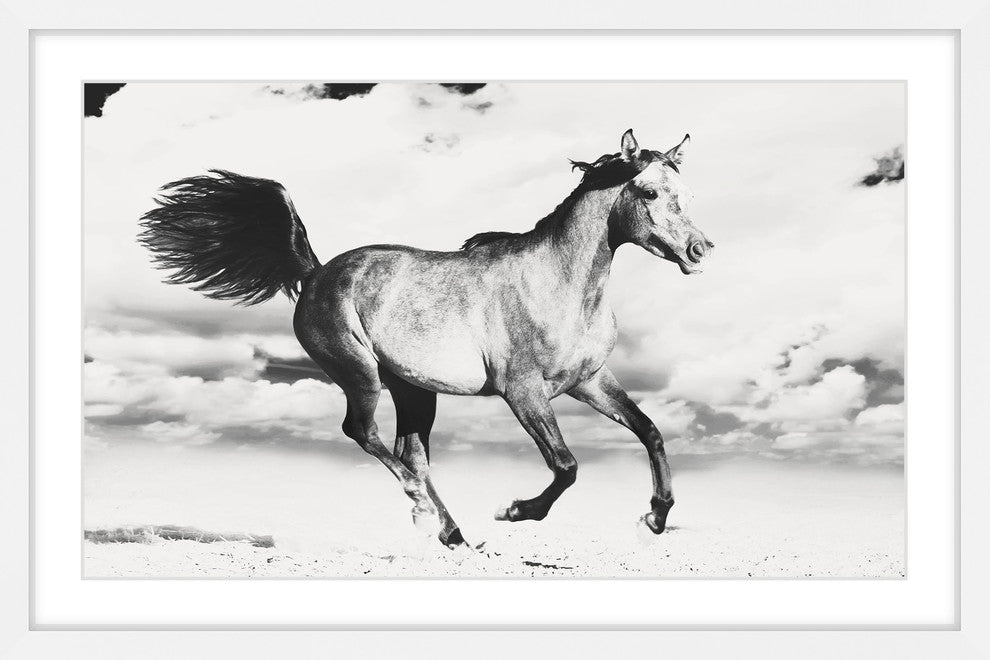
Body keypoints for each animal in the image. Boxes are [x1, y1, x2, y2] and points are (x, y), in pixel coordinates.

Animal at [138, 129, 714, 547]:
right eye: (648, 192)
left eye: (687, 195)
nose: (699, 250)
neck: (560, 284)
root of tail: (317, 272)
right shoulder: (523, 391)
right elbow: (566, 466)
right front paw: (514, 511)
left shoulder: (589, 381)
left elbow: (651, 432)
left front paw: (655, 518)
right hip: (360, 373)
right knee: (364, 434)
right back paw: (424, 511)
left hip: (413, 388)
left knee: (410, 452)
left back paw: (453, 534)